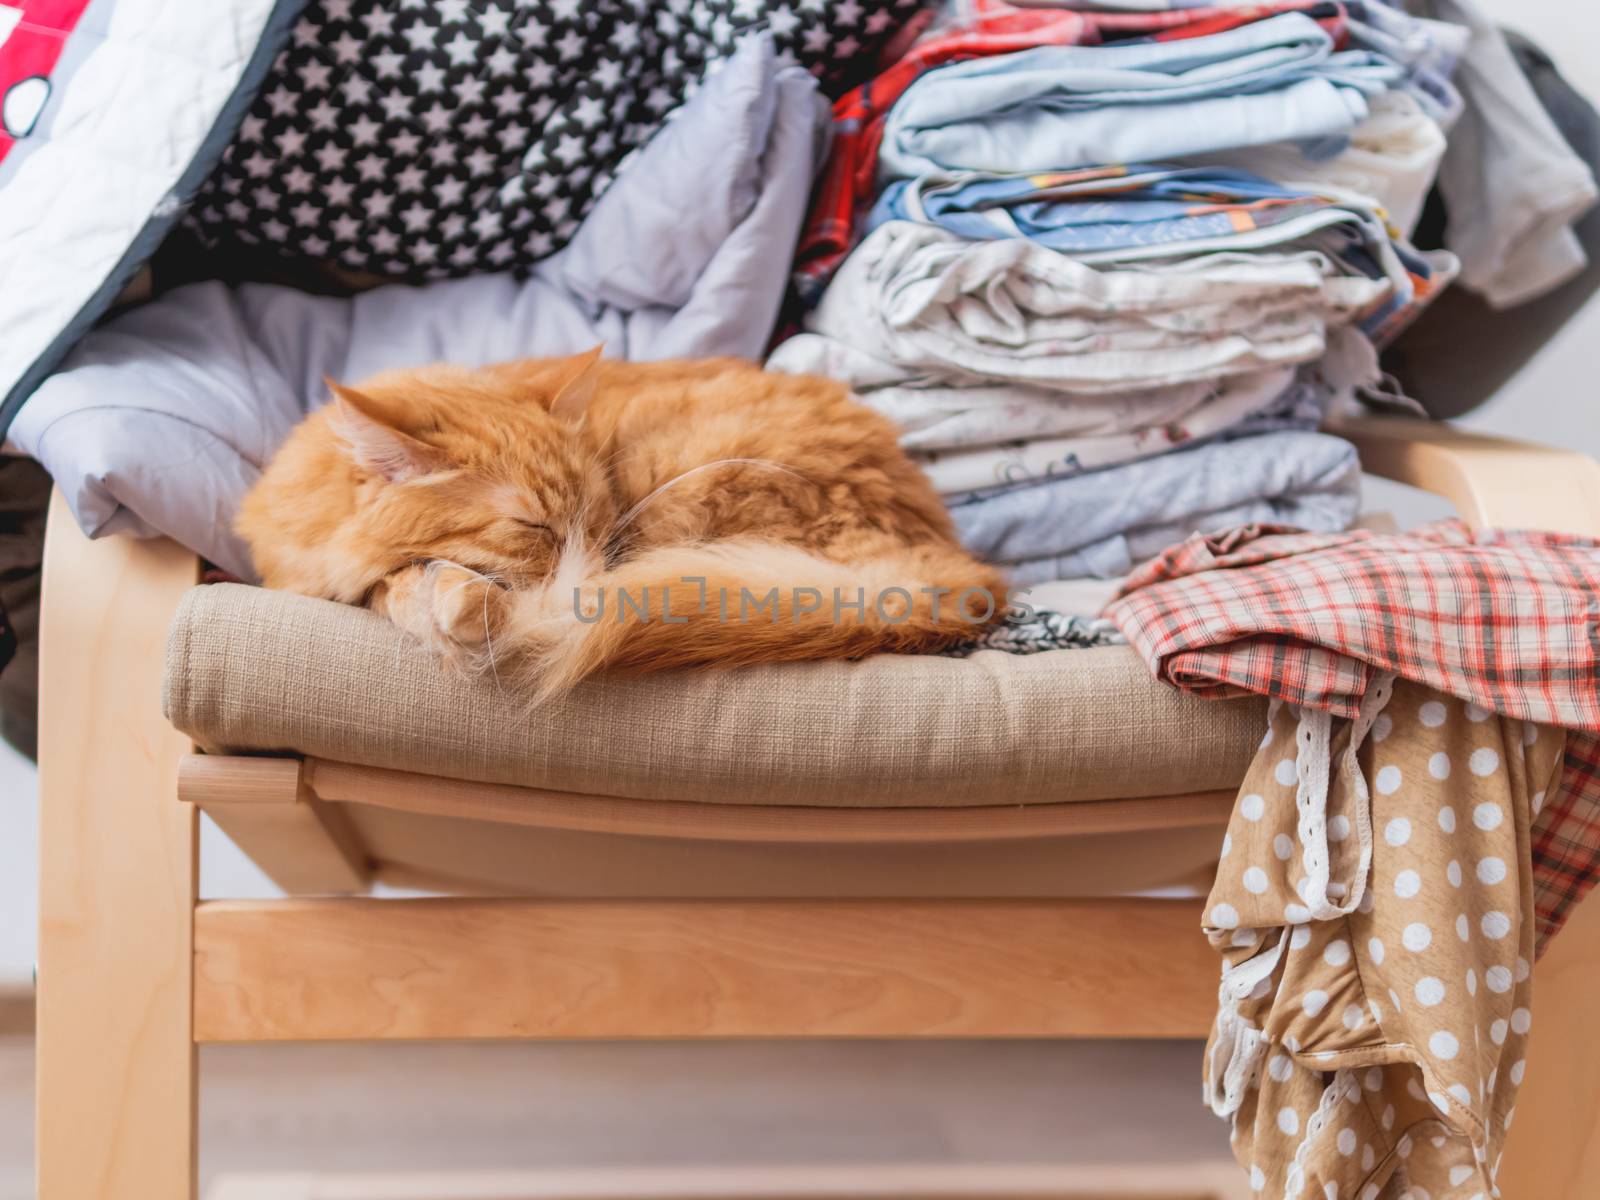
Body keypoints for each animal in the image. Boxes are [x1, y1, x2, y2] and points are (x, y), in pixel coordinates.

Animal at [240, 347, 998, 700]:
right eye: (536, 527)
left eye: (595, 518)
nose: (594, 562)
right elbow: (392, 584)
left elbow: (413, 585)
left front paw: (462, 611)